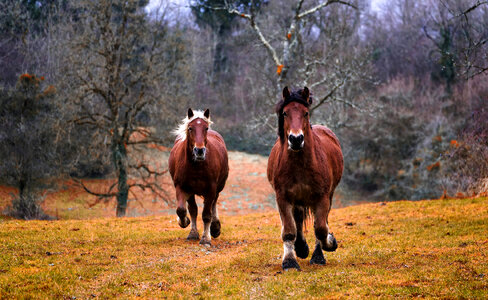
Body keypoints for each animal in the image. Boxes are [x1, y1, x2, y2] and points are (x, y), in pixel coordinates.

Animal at [169, 109, 230, 245]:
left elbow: (206, 214)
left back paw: (215, 228)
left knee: (214, 203)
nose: (200, 151)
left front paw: (206, 238)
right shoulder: (181, 187)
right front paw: (185, 224)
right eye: (190, 128)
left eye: (205, 128)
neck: (196, 166)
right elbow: (183, 210)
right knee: (193, 209)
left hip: (218, 188)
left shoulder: (211, 188)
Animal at [266, 87, 344, 272]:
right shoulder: (283, 198)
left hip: (327, 196)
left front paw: (328, 245)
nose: (296, 139)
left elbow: (321, 228)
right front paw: (289, 261)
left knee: (320, 222)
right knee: (299, 219)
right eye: (285, 113)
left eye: (306, 113)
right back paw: (301, 248)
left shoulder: (322, 197)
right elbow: (289, 230)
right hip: (298, 199)